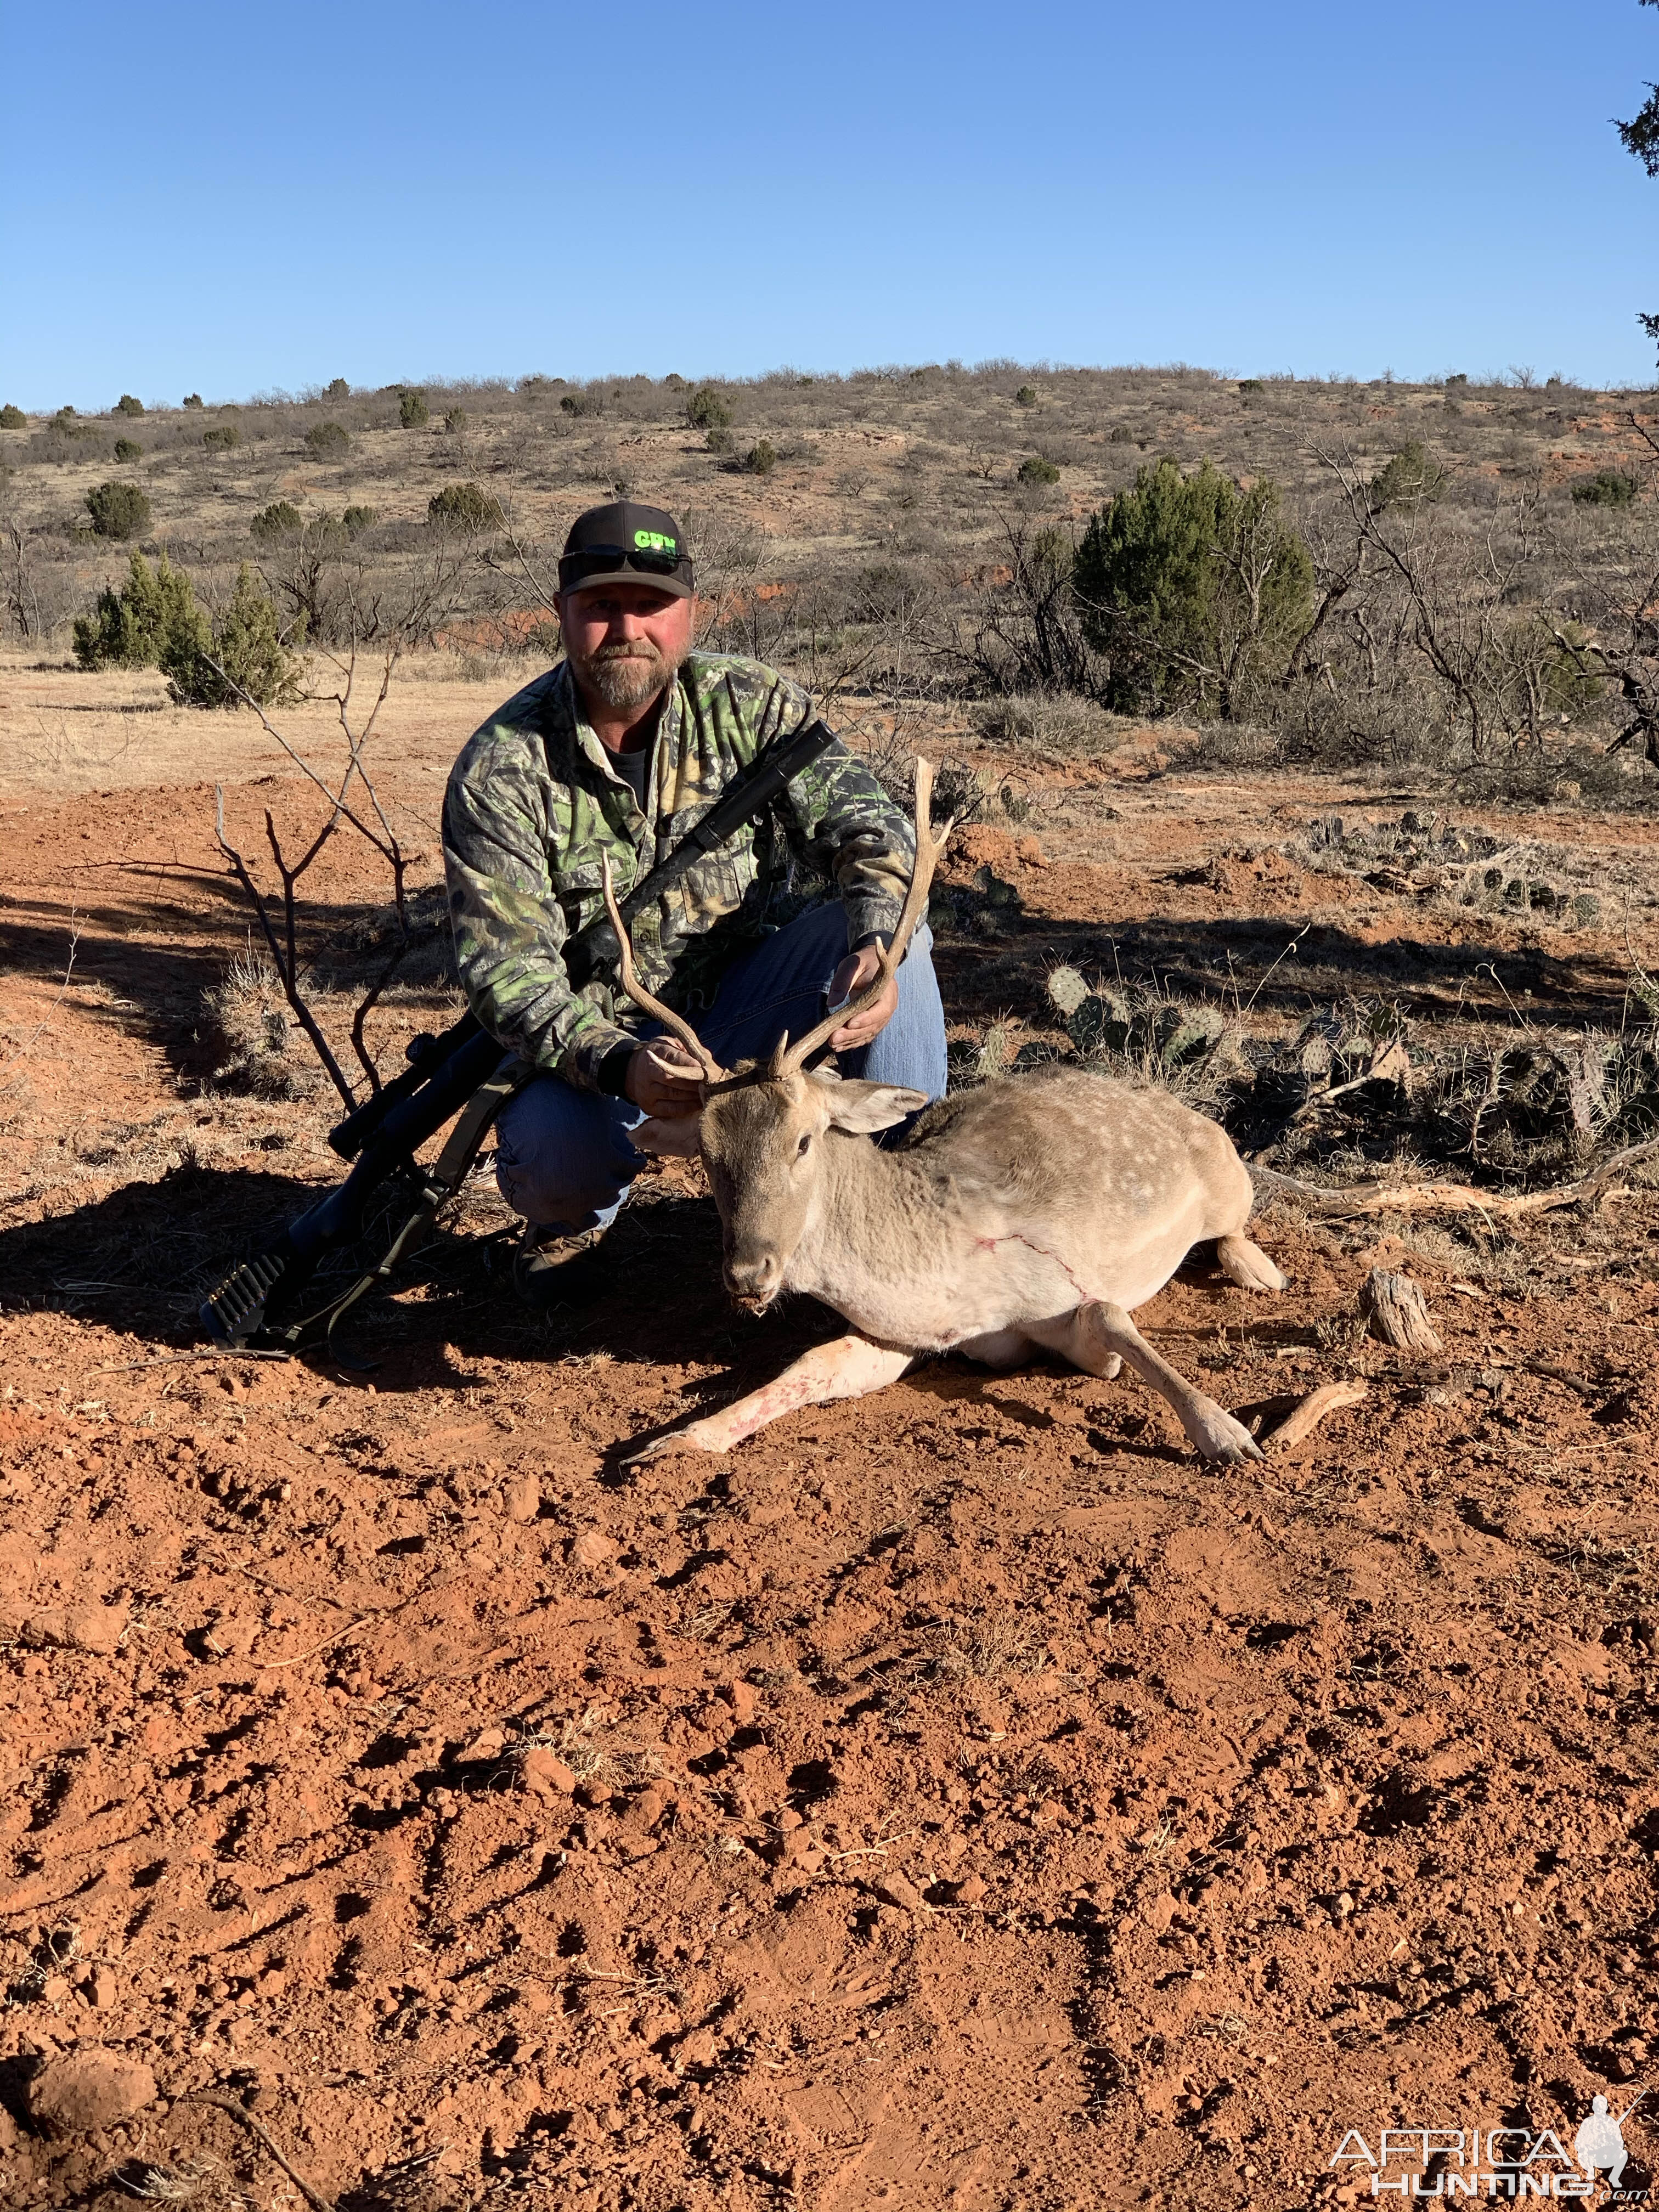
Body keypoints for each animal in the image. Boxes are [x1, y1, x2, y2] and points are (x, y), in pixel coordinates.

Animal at [606, 761, 1291, 1469]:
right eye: (707, 1154)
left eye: (803, 1141)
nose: (748, 1274)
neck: (946, 1283)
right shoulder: (899, 1335)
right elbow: (810, 1365)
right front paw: (669, 1442)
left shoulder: (1063, 1281)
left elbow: (1109, 1318)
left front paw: (1228, 1432)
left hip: (1228, 1179)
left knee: (1235, 1226)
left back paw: (1260, 1273)